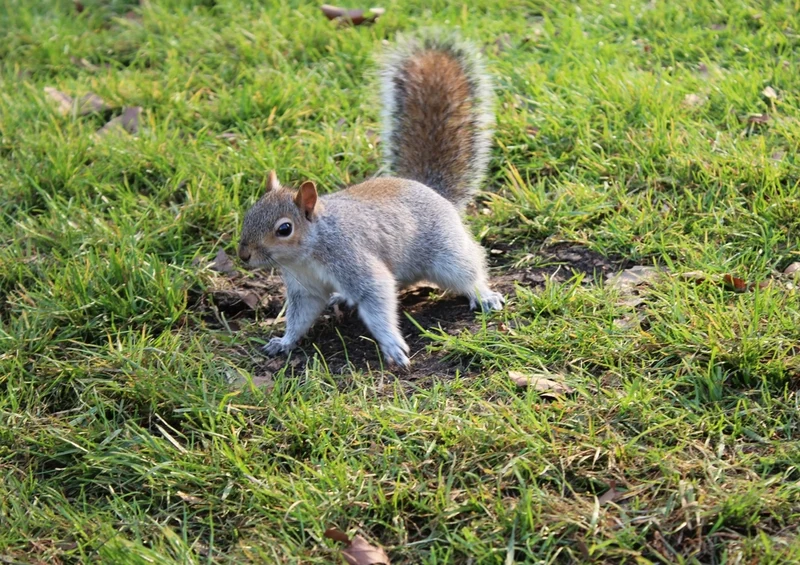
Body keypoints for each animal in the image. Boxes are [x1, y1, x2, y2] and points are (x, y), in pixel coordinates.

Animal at [237, 31, 503, 368]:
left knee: (468, 269)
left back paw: (483, 295)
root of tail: (428, 188)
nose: (243, 254)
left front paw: (392, 345)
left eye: (284, 229)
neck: (308, 253)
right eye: (248, 214)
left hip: (447, 252)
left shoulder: (352, 259)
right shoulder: (305, 287)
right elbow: (300, 317)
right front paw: (283, 342)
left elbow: (377, 297)